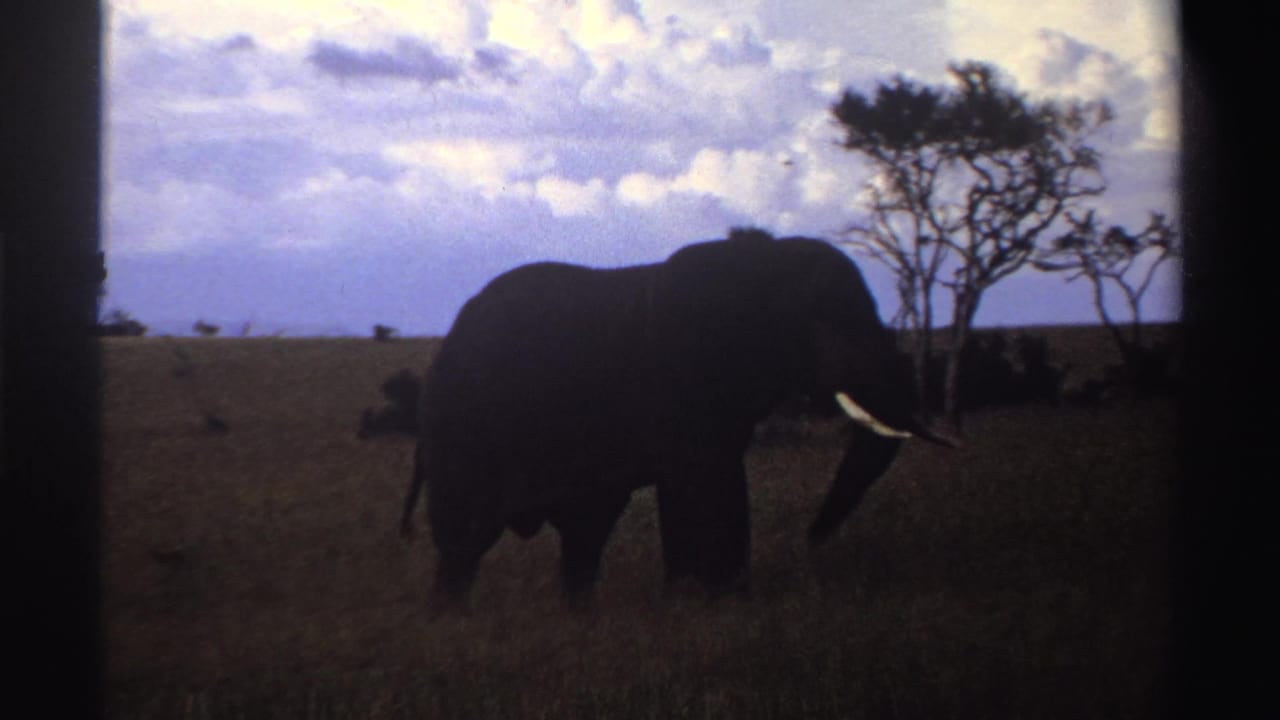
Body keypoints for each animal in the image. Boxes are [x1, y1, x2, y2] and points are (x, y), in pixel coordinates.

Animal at [400, 227, 952, 608]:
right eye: (824, 317)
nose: (811, 539)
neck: (760, 261)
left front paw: (716, 601)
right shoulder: (683, 377)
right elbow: (704, 484)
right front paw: (706, 603)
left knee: (583, 535)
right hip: (463, 429)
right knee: (465, 539)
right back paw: (451, 622)